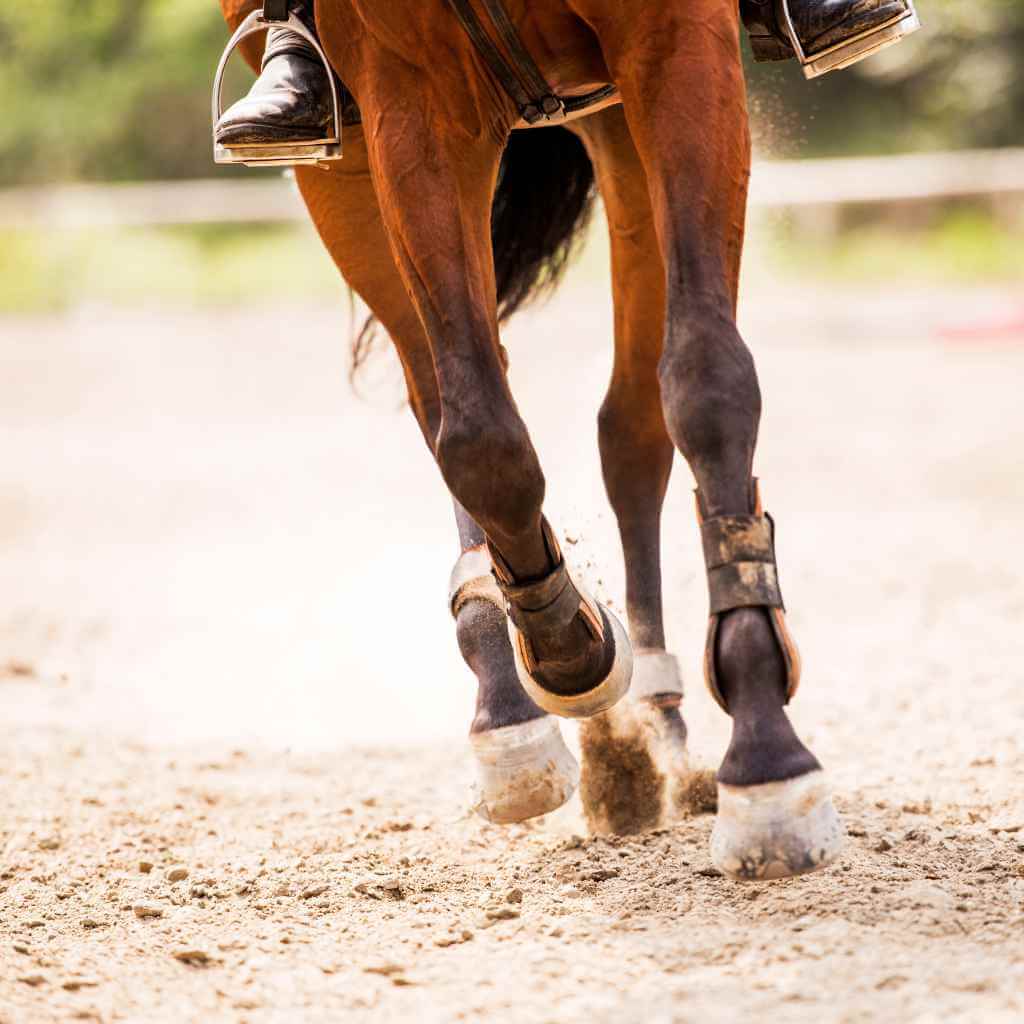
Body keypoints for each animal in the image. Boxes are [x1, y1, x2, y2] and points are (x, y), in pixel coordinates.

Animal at [215, 0, 844, 881]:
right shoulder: (405, 98)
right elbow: (480, 436)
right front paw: (568, 645)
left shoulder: (675, 41)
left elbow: (706, 379)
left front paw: (766, 760)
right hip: (349, 165)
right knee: (445, 395)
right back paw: (510, 702)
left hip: (614, 122)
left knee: (632, 425)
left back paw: (657, 724)